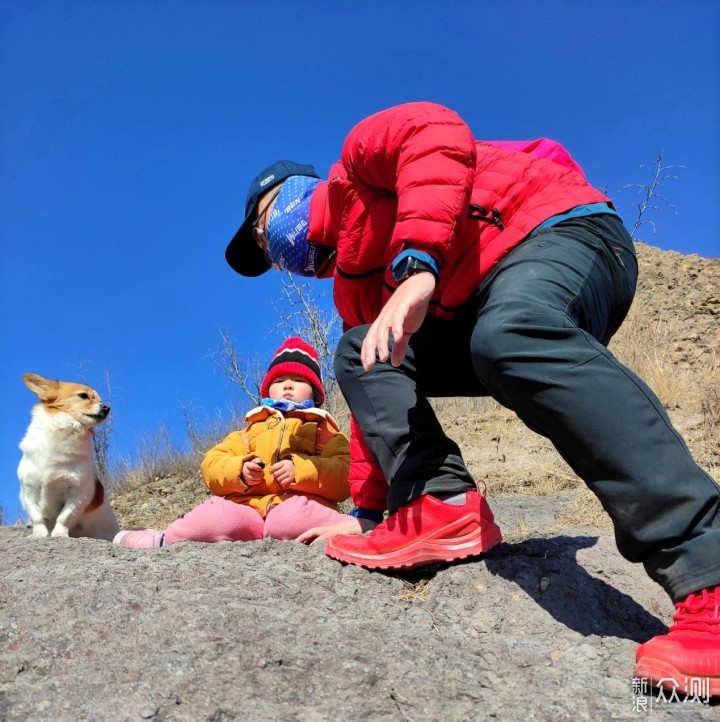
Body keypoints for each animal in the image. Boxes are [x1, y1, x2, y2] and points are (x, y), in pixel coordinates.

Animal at [17, 374, 119, 536]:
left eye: (101, 400)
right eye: (83, 396)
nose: (107, 407)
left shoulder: (77, 494)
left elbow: (65, 517)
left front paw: (59, 534)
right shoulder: (28, 490)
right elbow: (36, 517)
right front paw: (39, 534)